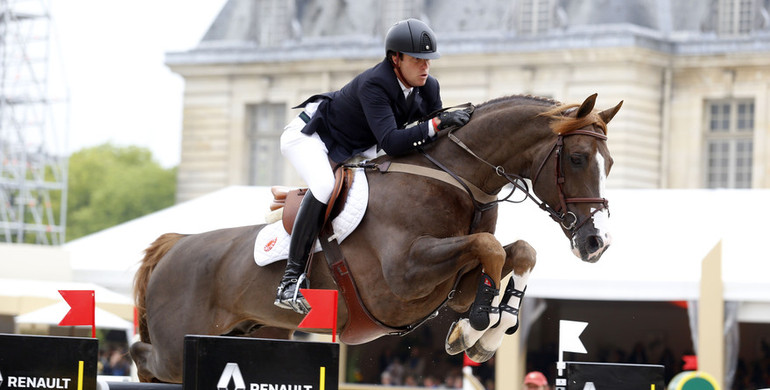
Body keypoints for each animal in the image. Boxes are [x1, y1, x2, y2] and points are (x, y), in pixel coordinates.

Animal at [129, 93, 620, 382]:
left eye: (610, 163)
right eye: (577, 158)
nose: (596, 243)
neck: (458, 179)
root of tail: (173, 245)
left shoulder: (449, 283)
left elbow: (516, 251)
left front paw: (483, 333)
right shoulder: (404, 277)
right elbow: (491, 249)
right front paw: (481, 323)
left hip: (256, 333)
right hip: (177, 347)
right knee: (141, 354)